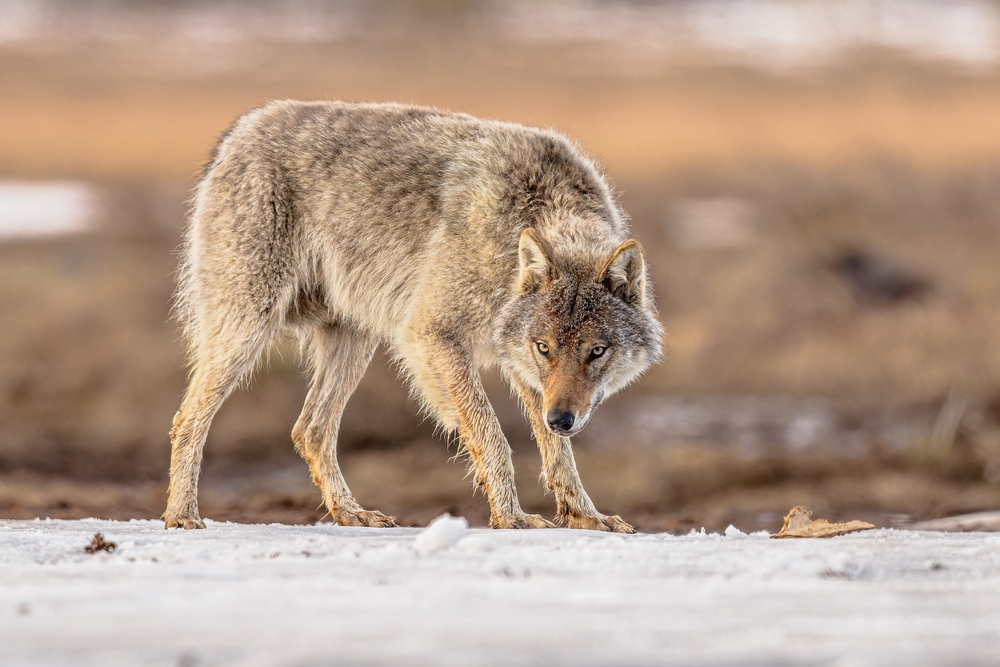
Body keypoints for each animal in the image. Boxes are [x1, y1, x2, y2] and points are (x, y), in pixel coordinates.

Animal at [164, 100, 663, 532]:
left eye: (596, 351)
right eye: (545, 347)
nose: (562, 418)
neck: (522, 222)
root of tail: (242, 127)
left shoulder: (519, 367)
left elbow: (558, 453)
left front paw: (585, 516)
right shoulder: (434, 336)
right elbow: (491, 434)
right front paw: (511, 516)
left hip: (353, 342)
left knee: (310, 430)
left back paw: (351, 513)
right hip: (249, 328)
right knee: (188, 419)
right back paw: (182, 515)